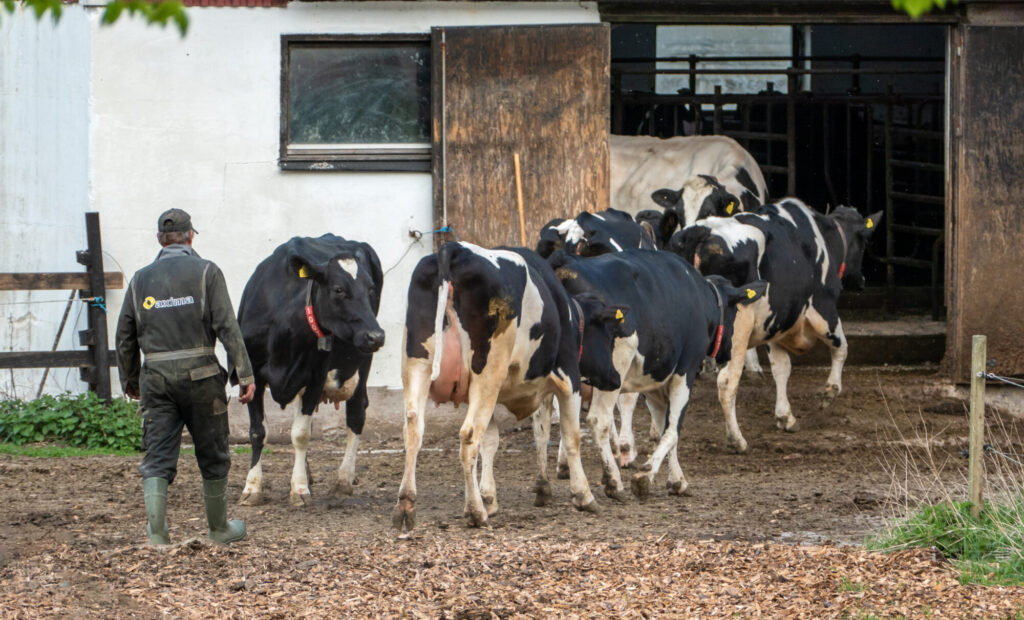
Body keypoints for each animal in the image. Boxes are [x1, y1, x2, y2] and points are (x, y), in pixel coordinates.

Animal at [234, 234, 385, 507]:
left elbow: (301, 434)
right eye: (338, 289)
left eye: (370, 290)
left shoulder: (315, 376)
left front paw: (300, 488)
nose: (376, 336)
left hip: (362, 361)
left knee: (356, 415)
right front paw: (252, 487)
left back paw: (344, 479)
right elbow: (257, 432)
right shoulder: (252, 377)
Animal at [393, 241, 597, 530]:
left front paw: (490, 496)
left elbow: (493, 441)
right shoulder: (569, 378)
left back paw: (406, 505)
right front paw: (583, 494)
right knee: (468, 436)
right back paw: (474, 511)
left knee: (413, 428)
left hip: (417, 364)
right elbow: (571, 436)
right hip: (488, 371)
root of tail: (453, 248)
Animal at [541, 249, 767, 499]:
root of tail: (566, 261)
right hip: (612, 371)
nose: (727, 352)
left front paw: (676, 480)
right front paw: (646, 475)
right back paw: (613, 481)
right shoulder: (685, 371)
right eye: (734, 311)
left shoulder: (654, 381)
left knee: (543, 425)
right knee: (598, 420)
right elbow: (673, 430)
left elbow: (662, 428)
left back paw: (547, 483)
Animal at [668, 200, 882, 452]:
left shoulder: (775, 324)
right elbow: (842, 347)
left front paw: (784, 416)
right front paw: (830, 392)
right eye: (864, 243)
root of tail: (701, 230)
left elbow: (781, 368)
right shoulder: (824, 310)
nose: (862, 281)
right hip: (737, 333)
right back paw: (736, 439)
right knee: (727, 382)